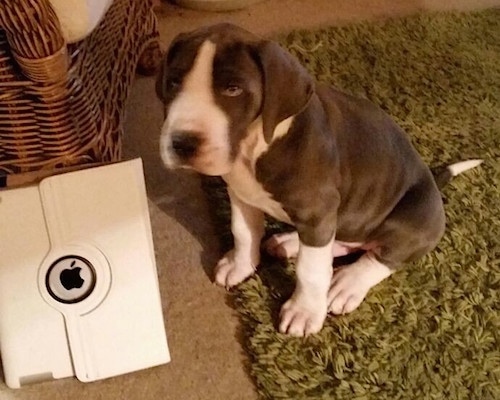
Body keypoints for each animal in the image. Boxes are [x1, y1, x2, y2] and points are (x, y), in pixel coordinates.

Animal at [155, 24, 480, 338]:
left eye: (233, 89)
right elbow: (244, 231)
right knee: (342, 243)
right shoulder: (241, 193)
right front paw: (241, 264)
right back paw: (288, 243)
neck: (255, 147)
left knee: (382, 257)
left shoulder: (317, 211)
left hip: (414, 219)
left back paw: (346, 283)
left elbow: (310, 270)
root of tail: (434, 184)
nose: (182, 143)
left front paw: (305, 311)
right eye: (173, 83)